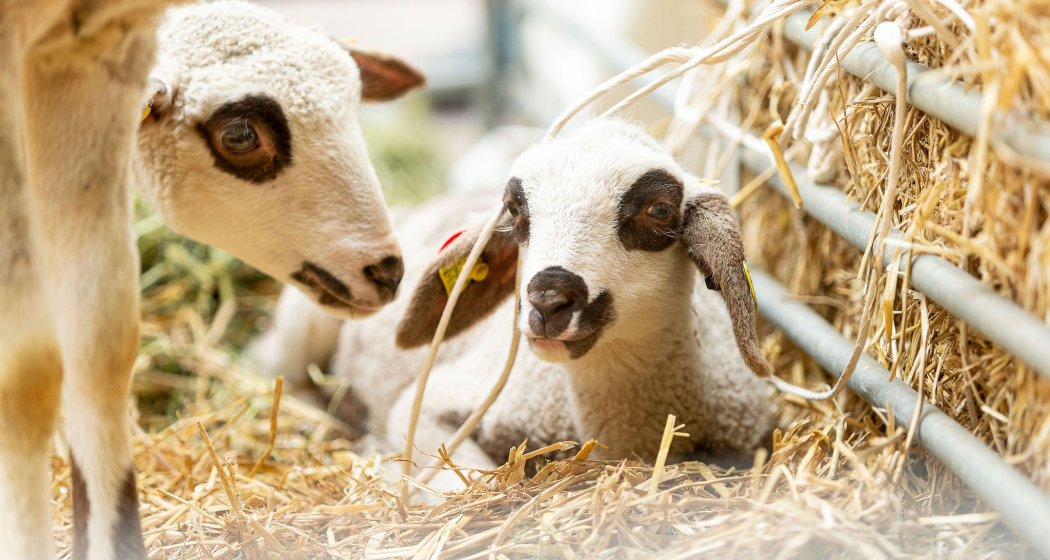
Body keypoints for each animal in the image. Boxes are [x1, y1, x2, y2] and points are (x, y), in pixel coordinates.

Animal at [0, 1, 423, 557]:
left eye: (356, 103)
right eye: (240, 135)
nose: (387, 272)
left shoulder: (94, 58)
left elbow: (101, 348)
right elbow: (25, 374)